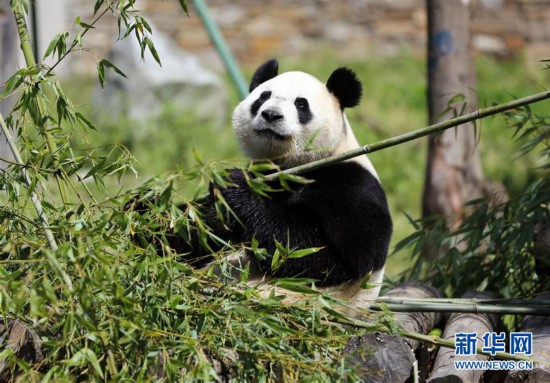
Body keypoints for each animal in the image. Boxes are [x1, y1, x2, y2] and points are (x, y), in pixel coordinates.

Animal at [205, 59, 394, 306]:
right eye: (263, 96)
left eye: (301, 104)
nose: (271, 115)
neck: (293, 165)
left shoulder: (352, 188)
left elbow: (325, 259)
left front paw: (233, 185)